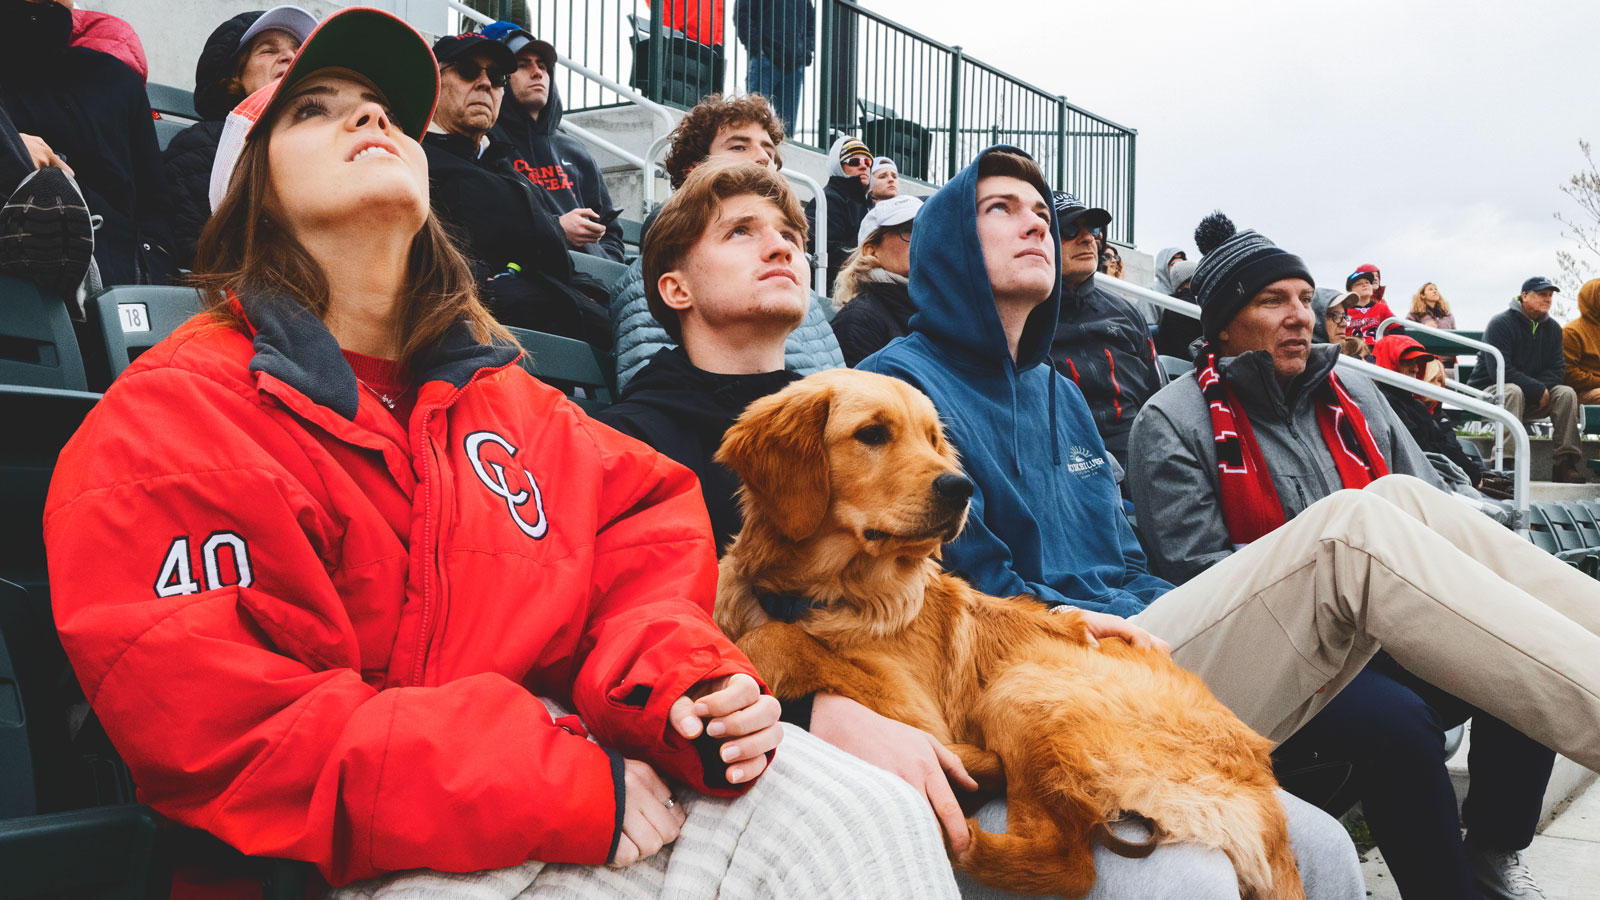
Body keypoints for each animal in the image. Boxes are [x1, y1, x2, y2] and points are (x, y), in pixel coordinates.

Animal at [713, 366, 1299, 896]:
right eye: (872, 434)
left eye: (933, 438)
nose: (961, 487)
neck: (825, 591)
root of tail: (1261, 776)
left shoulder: (914, 713)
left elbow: (784, 641)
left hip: (1022, 687)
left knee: (1067, 864)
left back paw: (965, 825)